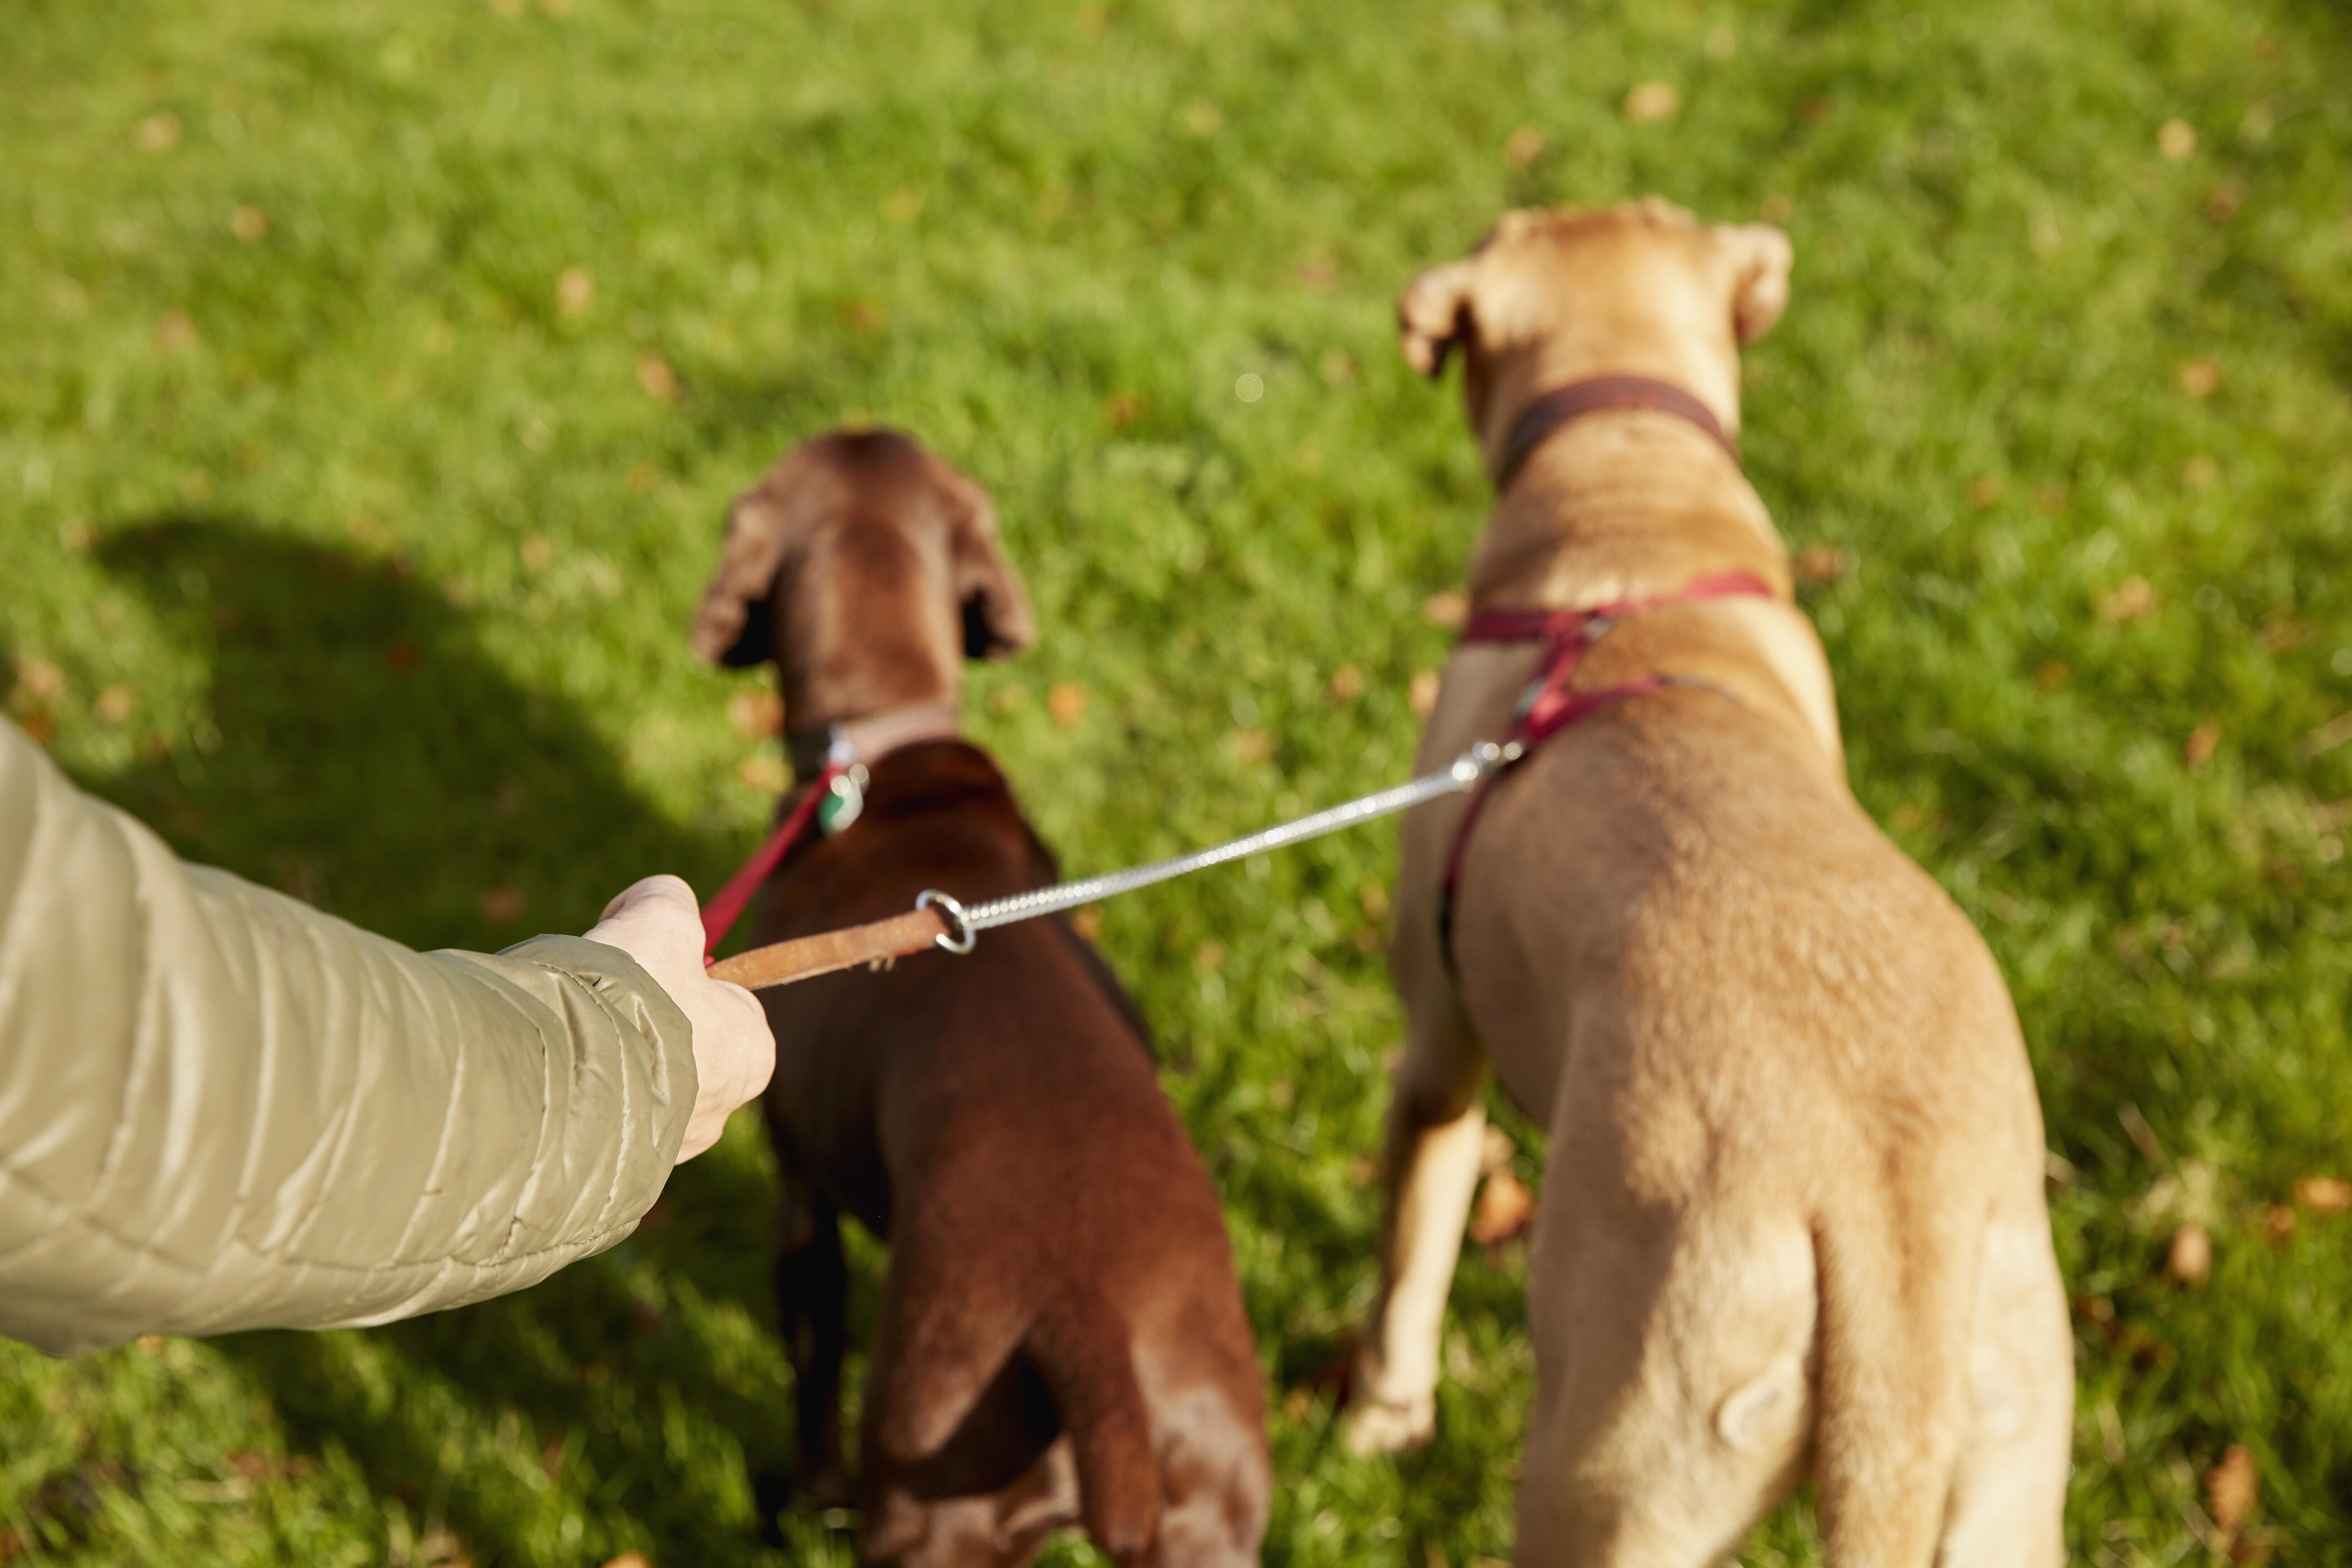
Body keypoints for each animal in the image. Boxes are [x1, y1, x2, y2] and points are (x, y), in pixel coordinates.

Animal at [1355, 202, 2070, 1561]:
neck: (1629, 510)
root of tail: (1884, 1225)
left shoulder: (1436, 1044)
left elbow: (1409, 1249)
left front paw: (1377, 1412)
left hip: (1609, 1472)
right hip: (2008, 1474)